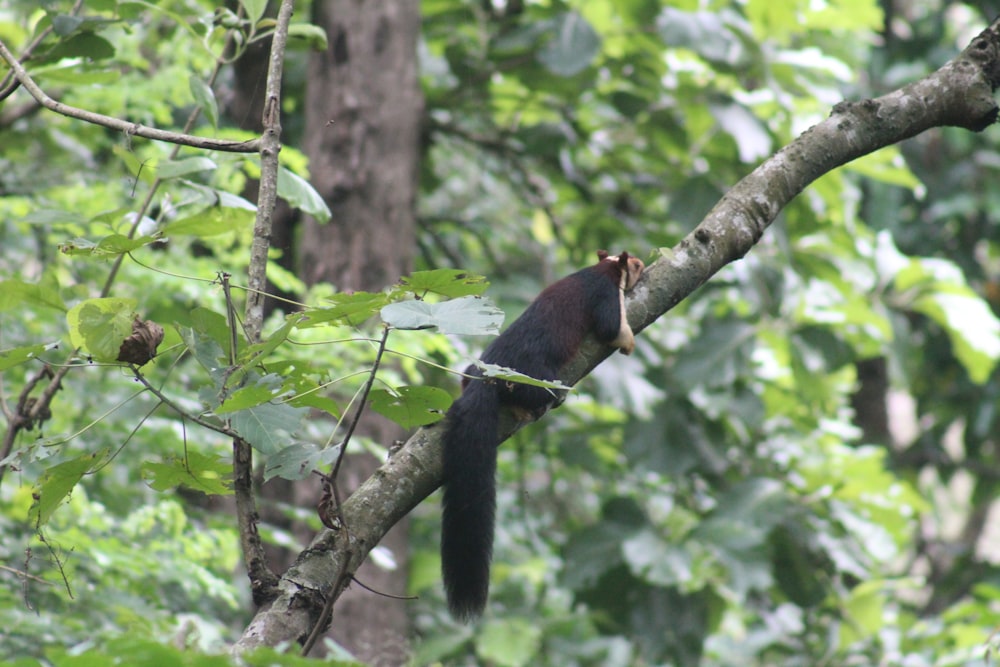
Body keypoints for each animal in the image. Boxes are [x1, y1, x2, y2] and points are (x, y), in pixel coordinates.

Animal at [440, 250, 644, 620]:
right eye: (634, 263)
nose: (644, 266)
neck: (599, 269)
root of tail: (486, 379)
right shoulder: (607, 296)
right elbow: (612, 328)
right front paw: (628, 342)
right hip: (543, 382)